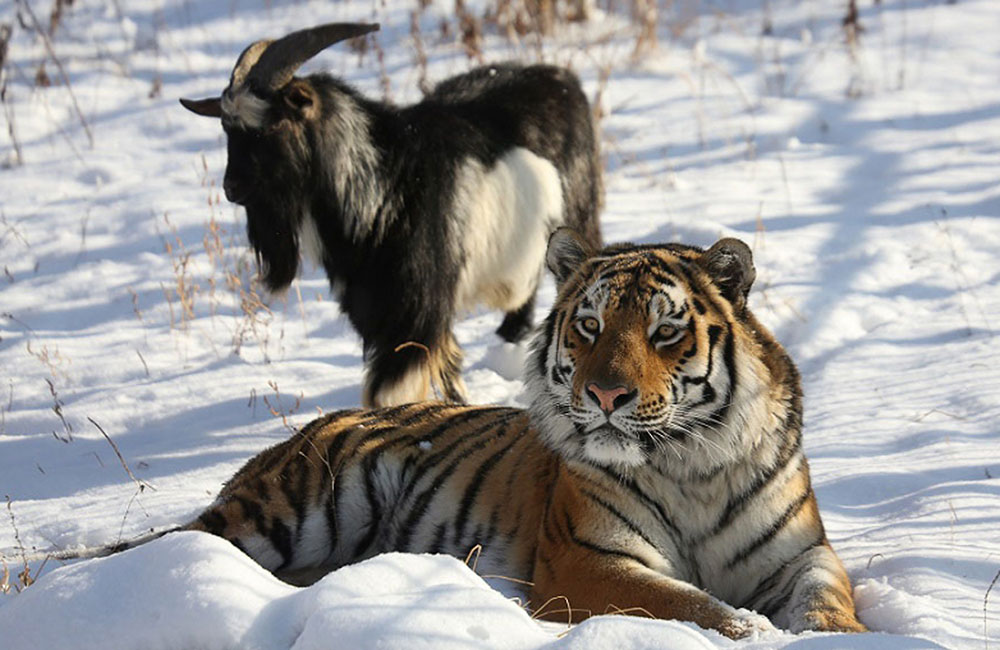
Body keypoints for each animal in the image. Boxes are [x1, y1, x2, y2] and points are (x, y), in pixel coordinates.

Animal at [33, 229, 865, 639]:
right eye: (590, 326)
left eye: (663, 331)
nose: (604, 394)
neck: (692, 464)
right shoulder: (586, 562)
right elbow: (690, 605)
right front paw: (750, 630)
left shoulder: (802, 553)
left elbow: (828, 599)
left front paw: (837, 634)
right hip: (292, 509)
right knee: (186, 549)